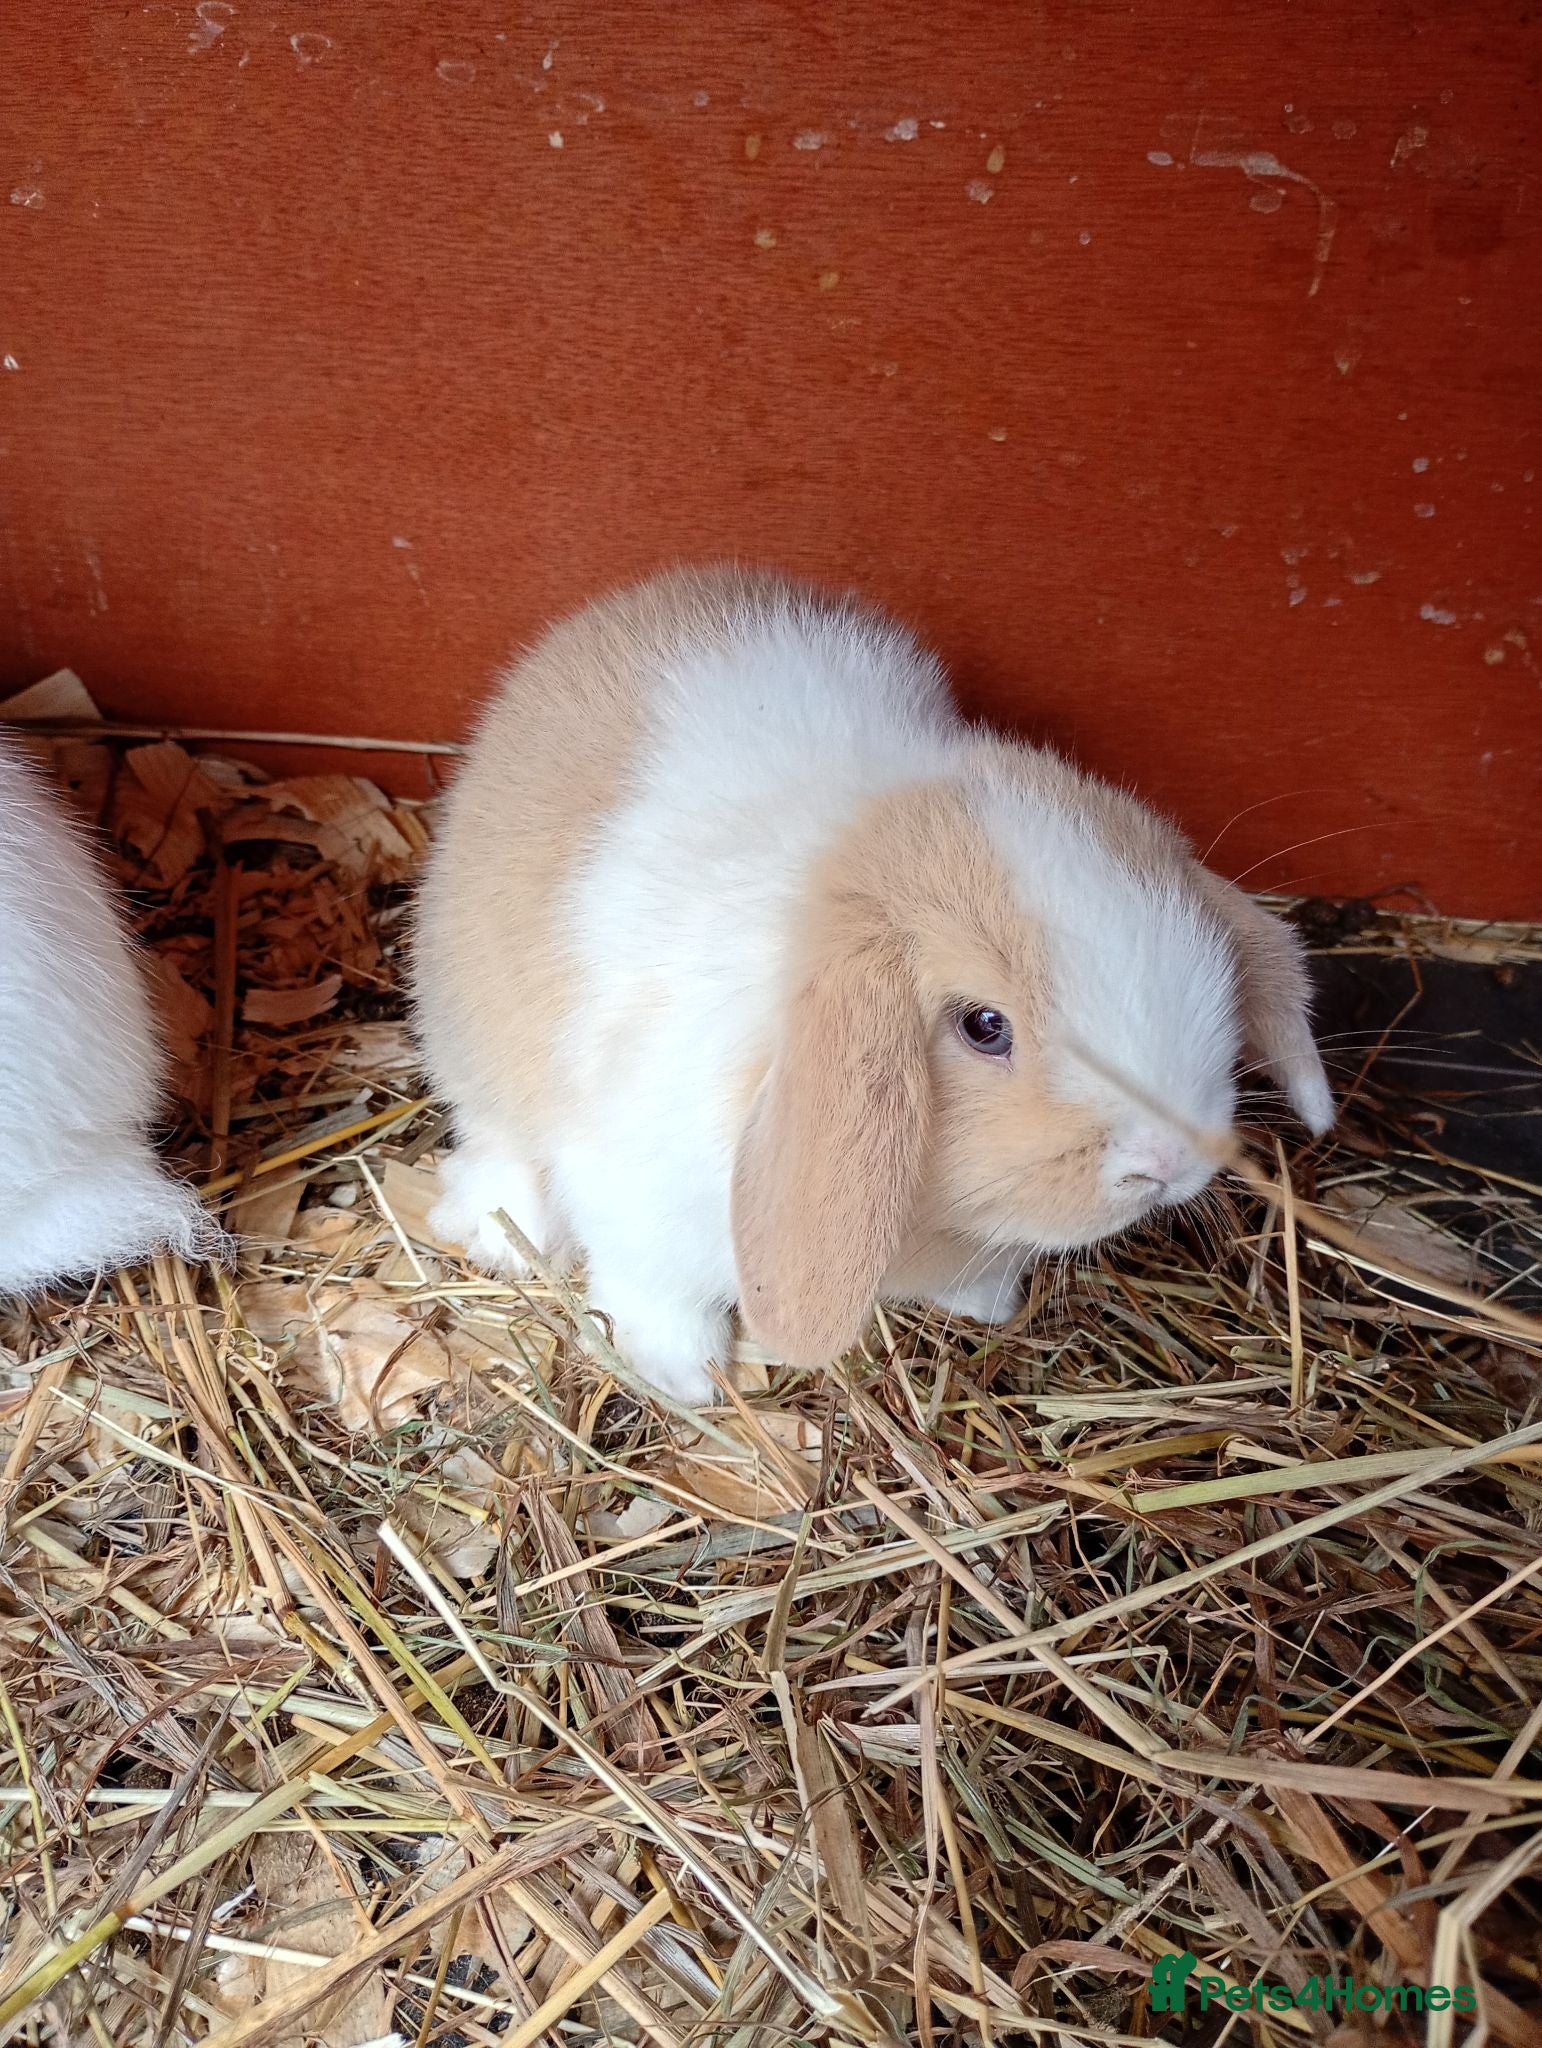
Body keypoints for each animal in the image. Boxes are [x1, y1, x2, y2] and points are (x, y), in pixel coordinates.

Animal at [413, 565, 1333, 1404]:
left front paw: (988, 1300)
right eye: (983, 1026)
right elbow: (653, 1292)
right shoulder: (638, 1197)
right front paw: (686, 1380)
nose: (1170, 1162)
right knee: (500, 1144)